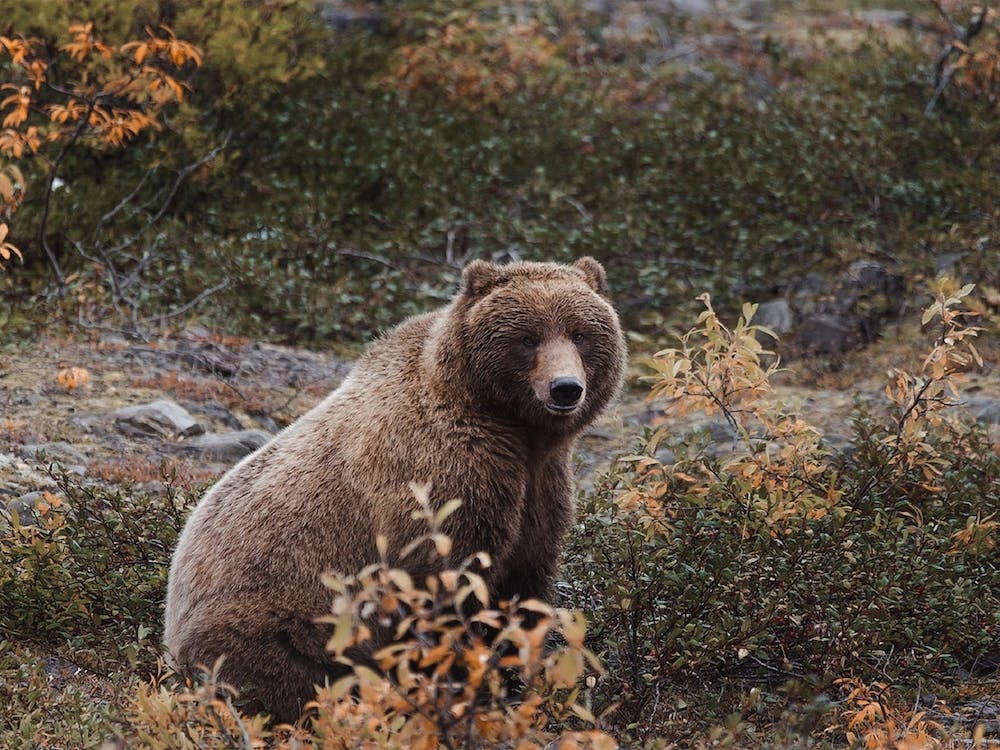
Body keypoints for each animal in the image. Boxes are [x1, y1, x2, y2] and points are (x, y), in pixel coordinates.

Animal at [162, 256, 627, 723]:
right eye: (527, 338)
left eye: (580, 333)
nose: (565, 388)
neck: (512, 430)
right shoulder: (442, 479)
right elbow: (448, 587)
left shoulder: (540, 489)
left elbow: (524, 587)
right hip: (280, 621)